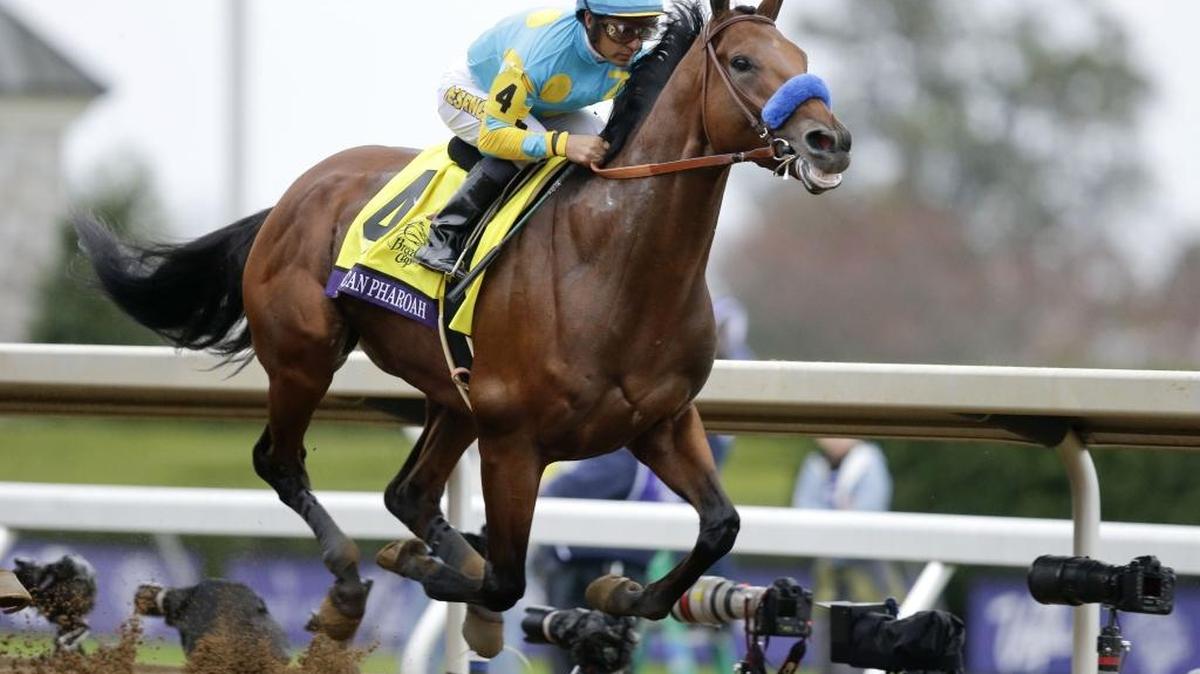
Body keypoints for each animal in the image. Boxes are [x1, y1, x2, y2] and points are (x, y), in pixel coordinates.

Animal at [75, 0, 850, 655]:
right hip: (306, 358)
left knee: (408, 493)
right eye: (744, 62)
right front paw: (441, 578)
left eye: (801, 54)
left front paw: (622, 593)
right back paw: (351, 586)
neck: (610, 263)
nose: (830, 139)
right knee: (281, 462)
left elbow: (720, 526)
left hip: (454, 396)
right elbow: (507, 579)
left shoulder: (661, 421)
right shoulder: (515, 442)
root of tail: (292, 198)